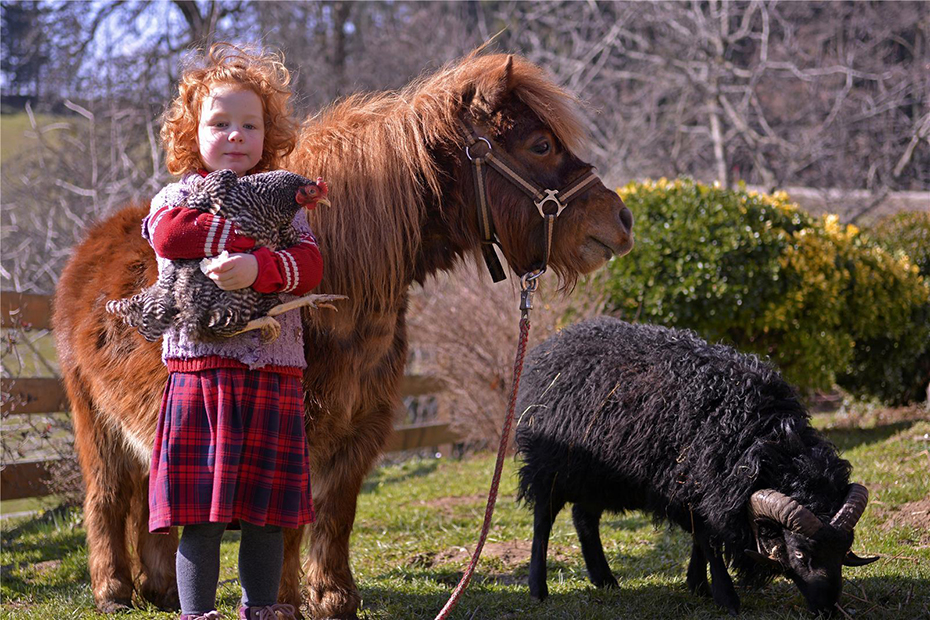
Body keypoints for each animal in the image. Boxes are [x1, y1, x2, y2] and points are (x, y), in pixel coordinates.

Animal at [54, 50, 636, 616]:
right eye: (540, 145)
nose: (622, 219)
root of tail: (91, 245)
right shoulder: (302, 429)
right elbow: (288, 524)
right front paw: (286, 601)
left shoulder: (361, 427)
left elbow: (336, 512)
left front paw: (333, 598)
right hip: (95, 421)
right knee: (106, 499)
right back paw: (112, 591)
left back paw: (160, 590)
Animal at [512, 318, 872, 616]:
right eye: (799, 554)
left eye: (844, 550)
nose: (828, 608)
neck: (762, 439)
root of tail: (554, 343)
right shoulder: (690, 483)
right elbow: (708, 540)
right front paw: (726, 598)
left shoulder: (701, 488)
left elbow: (702, 540)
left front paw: (697, 586)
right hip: (551, 467)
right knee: (543, 521)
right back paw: (538, 589)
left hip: (595, 477)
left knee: (584, 517)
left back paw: (605, 580)